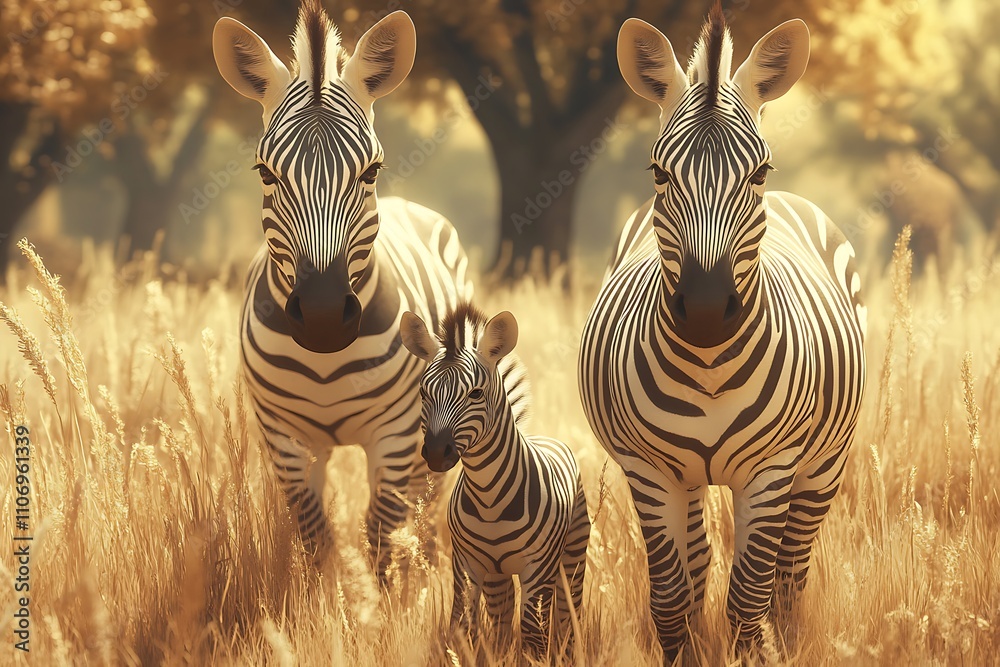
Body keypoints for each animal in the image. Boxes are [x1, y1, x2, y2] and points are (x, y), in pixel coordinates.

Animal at [212, 1, 471, 575]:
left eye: (370, 171)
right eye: (265, 173)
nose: (325, 317)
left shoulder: (395, 437)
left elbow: (379, 538)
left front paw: (382, 597)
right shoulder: (287, 441)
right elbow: (316, 538)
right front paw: (326, 596)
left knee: (426, 504)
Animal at [400, 303, 590, 655]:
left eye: (476, 394)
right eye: (423, 393)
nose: (436, 453)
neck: (489, 497)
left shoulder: (537, 570)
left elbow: (533, 634)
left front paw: (538, 659)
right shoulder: (467, 565)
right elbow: (462, 627)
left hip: (572, 551)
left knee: (567, 613)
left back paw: (569, 652)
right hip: (497, 575)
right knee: (501, 620)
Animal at [578, 5, 866, 657]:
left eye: (759, 172)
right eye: (659, 172)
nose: (708, 312)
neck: (709, 368)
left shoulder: (772, 468)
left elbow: (748, 598)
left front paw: (754, 654)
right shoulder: (649, 471)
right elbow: (671, 599)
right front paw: (687, 653)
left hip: (823, 465)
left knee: (790, 572)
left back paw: (789, 639)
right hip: (688, 480)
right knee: (699, 562)